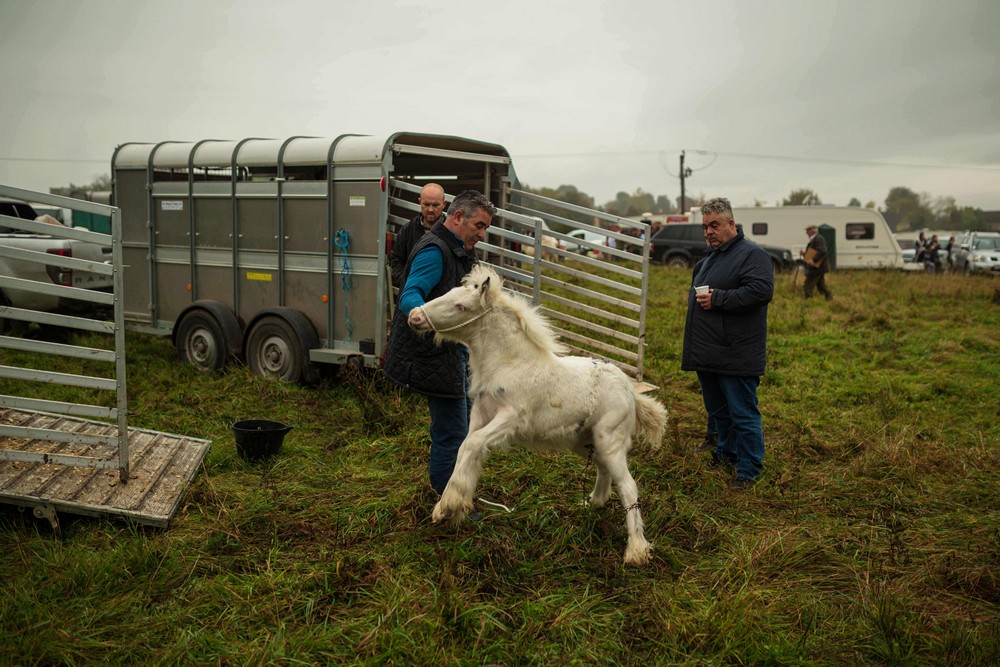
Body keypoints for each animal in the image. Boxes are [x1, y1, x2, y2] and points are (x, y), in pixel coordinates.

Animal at [410, 264, 668, 568]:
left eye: (461, 306)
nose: (414, 316)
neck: (510, 362)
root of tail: (630, 389)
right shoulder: (481, 415)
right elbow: (467, 447)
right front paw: (454, 506)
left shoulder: (510, 418)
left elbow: (471, 445)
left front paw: (447, 505)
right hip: (585, 441)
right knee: (604, 470)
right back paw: (592, 502)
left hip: (610, 440)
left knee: (628, 486)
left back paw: (636, 550)